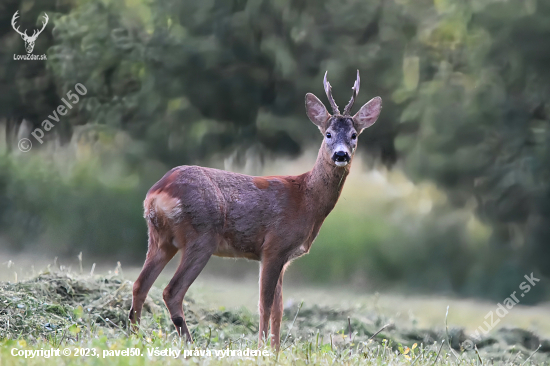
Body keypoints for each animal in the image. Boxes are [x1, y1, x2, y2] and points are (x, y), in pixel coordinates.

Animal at [130, 71, 384, 348]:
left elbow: (279, 309)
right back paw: (188, 341)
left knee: (140, 284)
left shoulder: (284, 257)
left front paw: (276, 350)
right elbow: (265, 305)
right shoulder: (273, 246)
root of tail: (157, 193)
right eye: (327, 133)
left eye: (354, 135)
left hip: (160, 238)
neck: (306, 200)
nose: (341, 155)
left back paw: (135, 335)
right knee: (171, 291)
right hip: (201, 236)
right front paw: (262, 347)